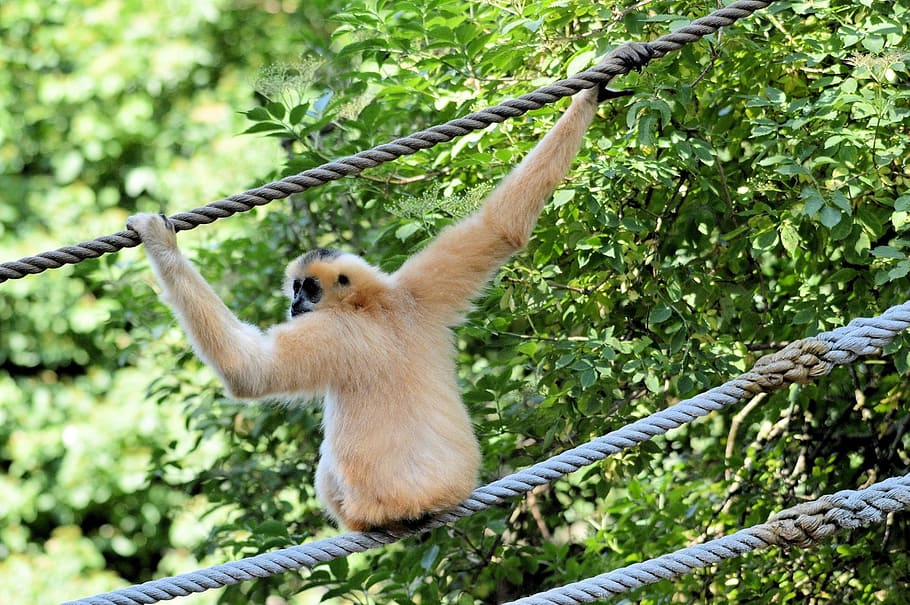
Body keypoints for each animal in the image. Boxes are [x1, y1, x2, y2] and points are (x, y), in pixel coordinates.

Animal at [127, 53, 650, 531]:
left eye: (306, 289)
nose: (294, 303)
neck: (371, 303)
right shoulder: (415, 292)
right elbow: (499, 228)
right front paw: (591, 94)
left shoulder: (331, 330)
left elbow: (248, 371)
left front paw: (161, 243)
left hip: (362, 500)